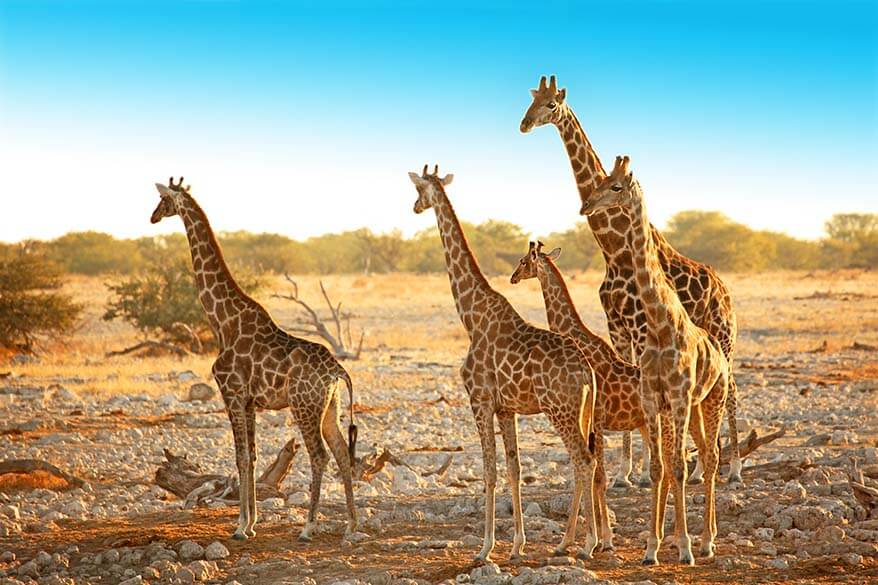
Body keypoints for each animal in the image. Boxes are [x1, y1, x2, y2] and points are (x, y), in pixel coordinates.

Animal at [150, 176, 358, 540]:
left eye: (162, 200)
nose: (152, 217)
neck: (223, 321)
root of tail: (337, 371)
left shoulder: (231, 393)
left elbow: (240, 456)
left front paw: (240, 527)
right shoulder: (249, 401)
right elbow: (253, 456)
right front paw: (252, 523)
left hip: (303, 406)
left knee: (319, 455)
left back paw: (308, 527)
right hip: (329, 407)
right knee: (342, 453)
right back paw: (351, 524)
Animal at [410, 164, 600, 560]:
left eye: (418, 189)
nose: (414, 207)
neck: (470, 316)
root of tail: (587, 372)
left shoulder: (479, 400)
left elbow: (490, 472)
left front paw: (484, 548)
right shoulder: (506, 408)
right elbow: (513, 469)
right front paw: (517, 545)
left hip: (559, 410)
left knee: (584, 460)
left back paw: (587, 543)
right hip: (581, 412)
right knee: (585, 460)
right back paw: (573, 541)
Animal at [508, 240, 652, 548]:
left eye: (524, 261)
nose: (512, 277)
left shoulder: (596, 418)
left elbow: (597, 475)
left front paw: (601, 538)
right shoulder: (593, 422)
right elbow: (592, 474)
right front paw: (596, 537)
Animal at [524, 74, 744, 484]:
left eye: (551, 105)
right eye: (529, 100)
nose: (524, 124)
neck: (613, 250)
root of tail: (723, 290)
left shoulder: (641, 328)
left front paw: (649, 470)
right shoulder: (618, 328)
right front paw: (627, 472)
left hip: (724, 335)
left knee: (733, 389)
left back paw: (734, 466)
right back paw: (702, 466)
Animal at [592, 157, 728, 564]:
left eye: (617, 186)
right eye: (601, 181)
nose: (586, 206)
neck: (659, 321)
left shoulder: (679, 396)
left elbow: (680, 468)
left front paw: (684, 547)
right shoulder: (654, 397)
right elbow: (657, 468)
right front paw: (651, 547)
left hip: (712, 399)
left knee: (711, 457)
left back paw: (707, 541)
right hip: (693, 408)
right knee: (700, 454)